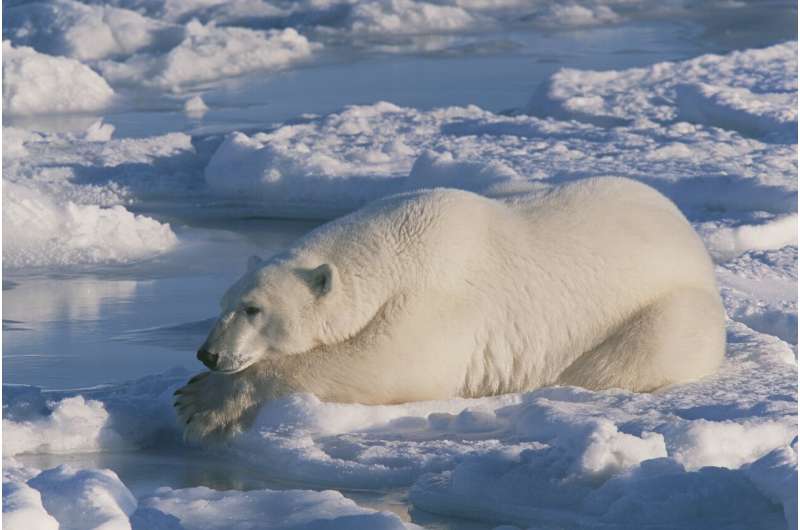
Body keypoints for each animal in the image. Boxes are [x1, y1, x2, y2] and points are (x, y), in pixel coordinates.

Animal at [175, 176, 724, 438]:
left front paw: (198, 401)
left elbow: (385, 365)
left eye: (253, 309)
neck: (393, 247)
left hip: (668, 310)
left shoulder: (442, 301)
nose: (208, 354)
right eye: (224, 303)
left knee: (631, 355)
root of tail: (690, 236)